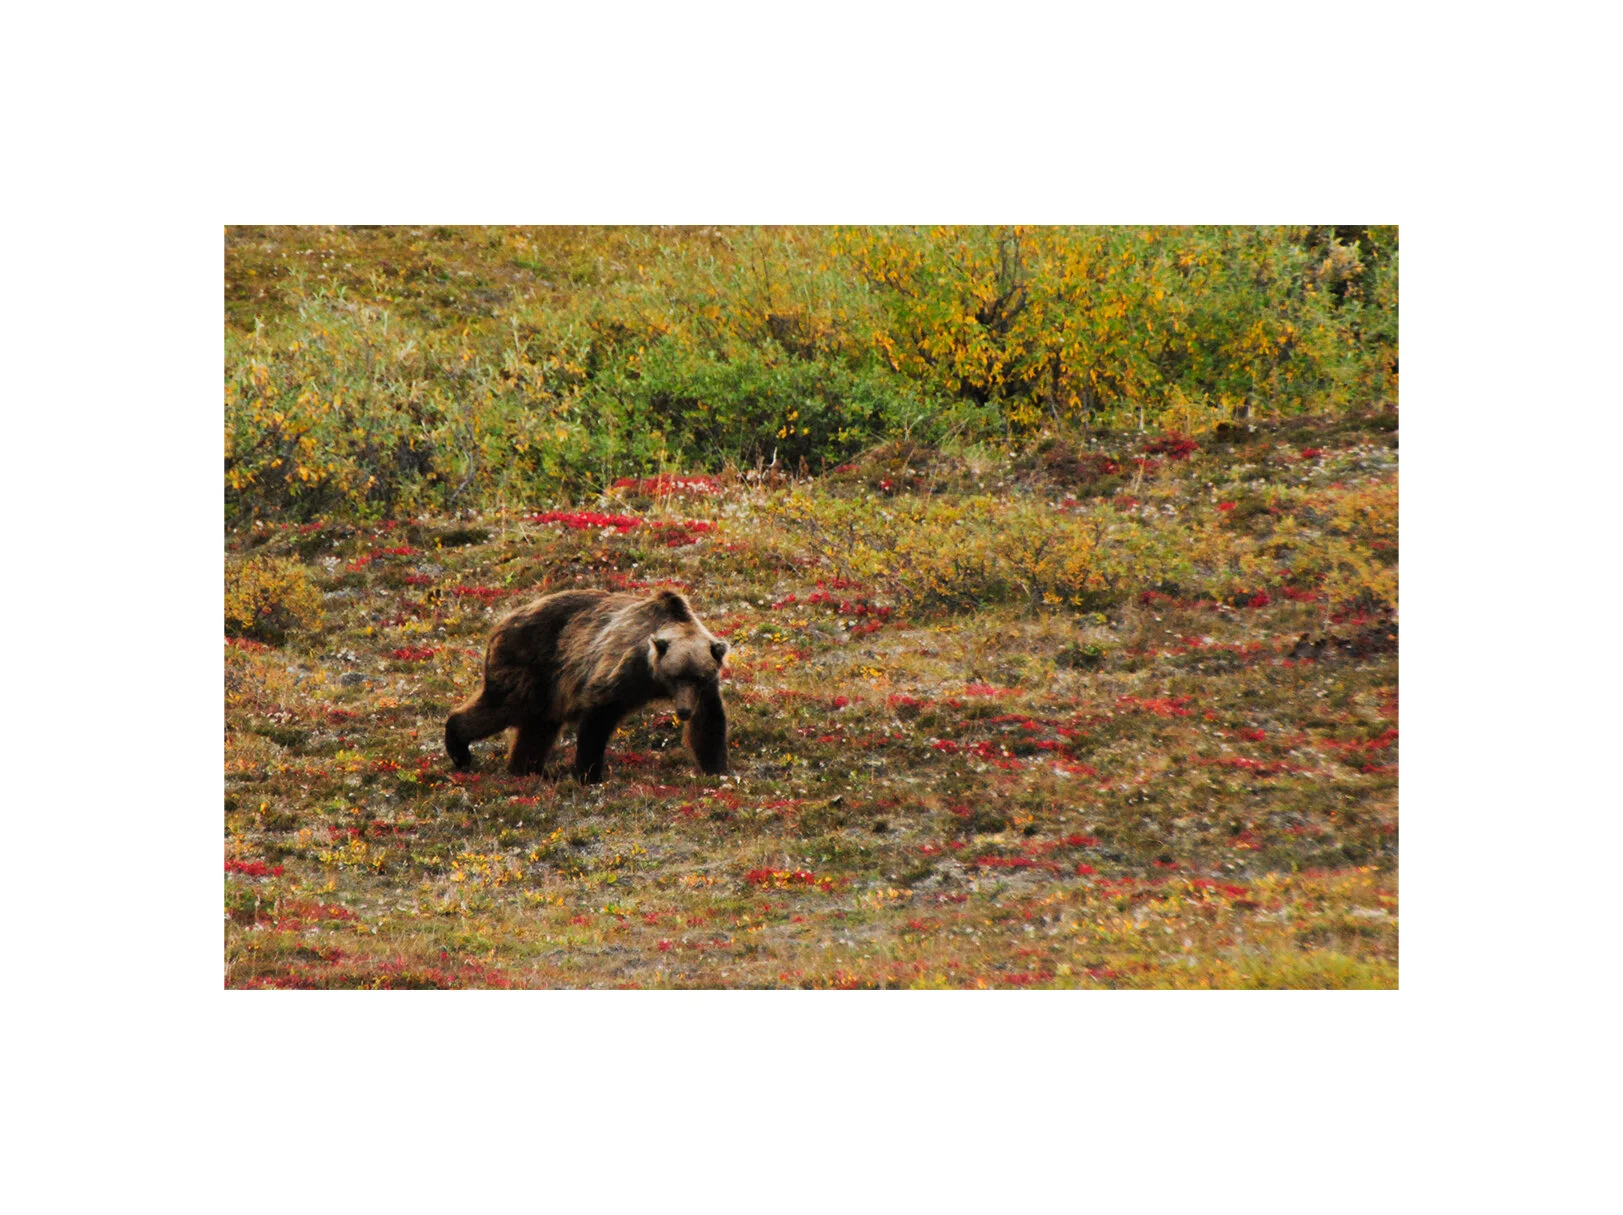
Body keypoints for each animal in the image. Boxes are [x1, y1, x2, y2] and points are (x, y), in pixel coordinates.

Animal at [445, 588, 730, 784]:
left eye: (698, 677)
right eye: (676, 675)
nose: (683, 711)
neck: (653, 676)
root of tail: (499, 624)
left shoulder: (704, 689)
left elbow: (709, 722)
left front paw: (716, 769)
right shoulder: (623, 669)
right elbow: (599, 716)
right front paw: (589, 775)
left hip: (547, 688)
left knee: (538, 727)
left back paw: (527, 769)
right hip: (528, 664)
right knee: (502, 706)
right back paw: (459, 747)